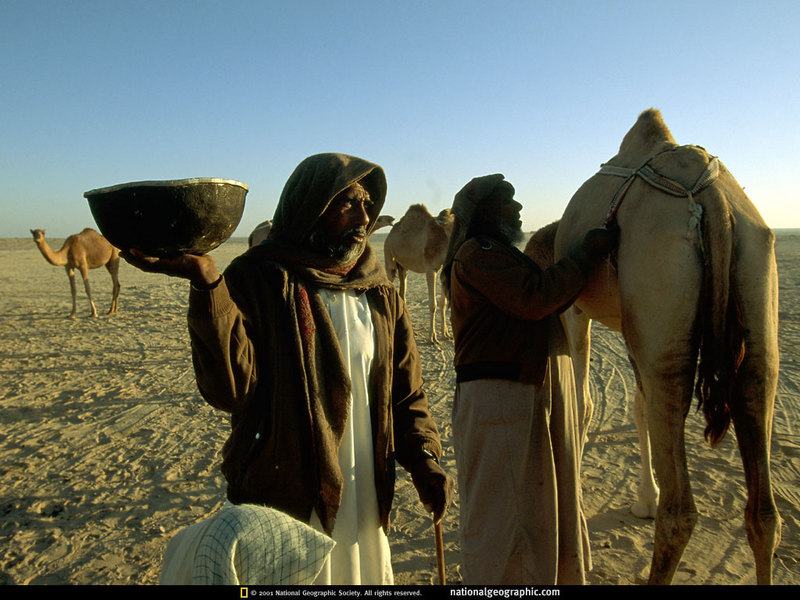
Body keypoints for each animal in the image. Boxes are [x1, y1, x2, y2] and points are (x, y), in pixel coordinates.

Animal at [382, 204, 454, 342]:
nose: (442, 214)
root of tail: (390, 233)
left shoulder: (443, 267)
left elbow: (443, 302)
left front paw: (446, 334)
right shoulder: (430, 269)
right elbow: (433, 304)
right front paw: (432, 337)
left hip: (403, 267)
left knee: (402, 293)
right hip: (389, 254)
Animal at [528, 106, 780, 580]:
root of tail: (715, 202)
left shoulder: (576, 310)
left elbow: (582, 405)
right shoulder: (634, 329)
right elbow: (637, 406)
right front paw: (644, 499)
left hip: (664, 310)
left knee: (681, 513)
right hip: (753, 293)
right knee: (762, 510)